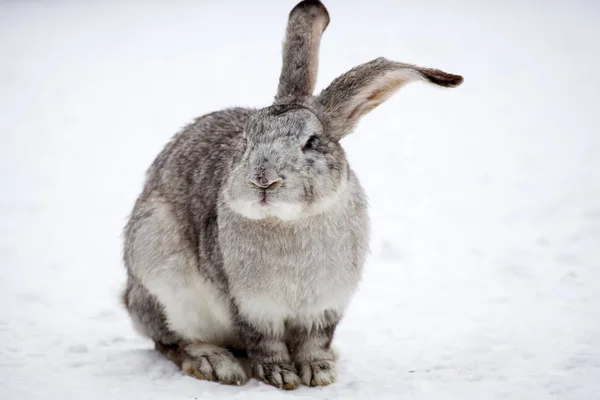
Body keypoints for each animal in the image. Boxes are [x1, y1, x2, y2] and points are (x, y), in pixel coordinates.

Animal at [120, 0, 460, 390]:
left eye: (310, 142)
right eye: (246, 140)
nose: (262, 179)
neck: (289, 221)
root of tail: (129, 298)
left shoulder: (324, 307)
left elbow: (314, 341)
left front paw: (319, 372)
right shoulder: (251, 306)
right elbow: (265, 343)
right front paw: (280, 376)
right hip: (160, 270)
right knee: (170, 341)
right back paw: (215, 363)